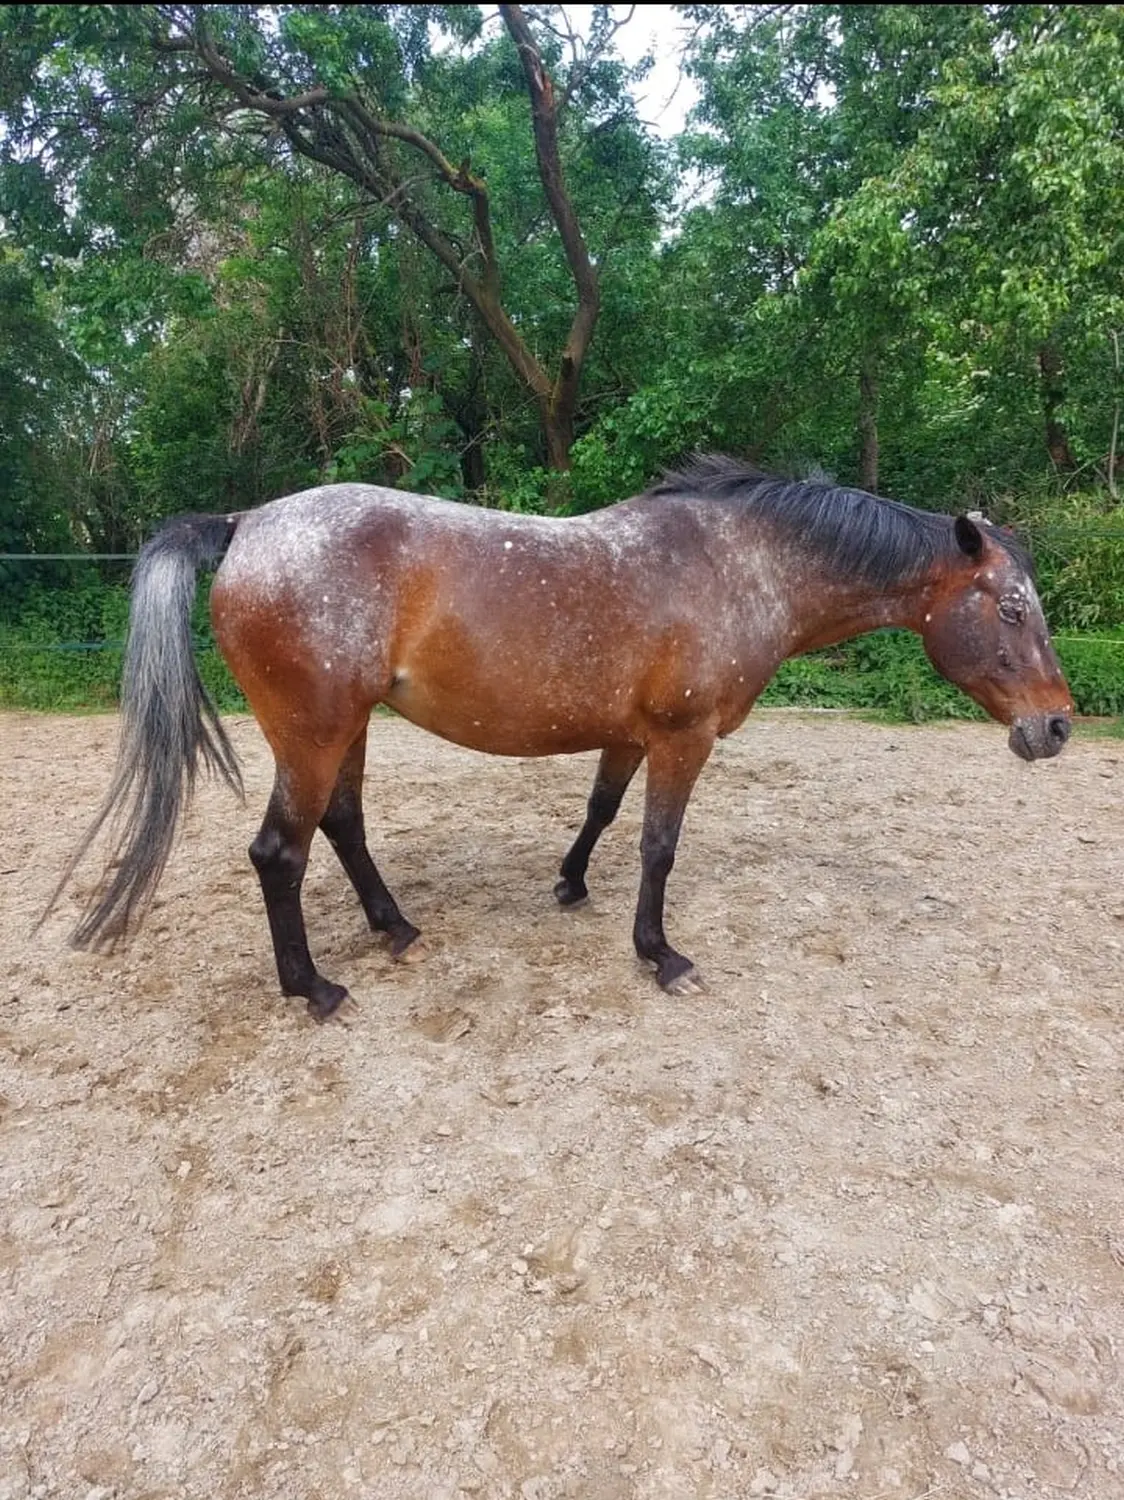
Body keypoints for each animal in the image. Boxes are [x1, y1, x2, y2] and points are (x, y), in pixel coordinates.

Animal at [49, 456, 1073, 1020]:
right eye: (1013, 608)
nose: (1056, 726)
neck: (739, 565)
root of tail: (246, 522)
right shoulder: (685, 738)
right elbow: (658, 846)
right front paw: (660, 955)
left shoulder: (632, 734)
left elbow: (602, 812)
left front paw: (572, 885)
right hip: (312, 732)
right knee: (279, 853)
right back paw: (315, 989)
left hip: (347, 731)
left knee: (341, 826)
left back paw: (396, 929)